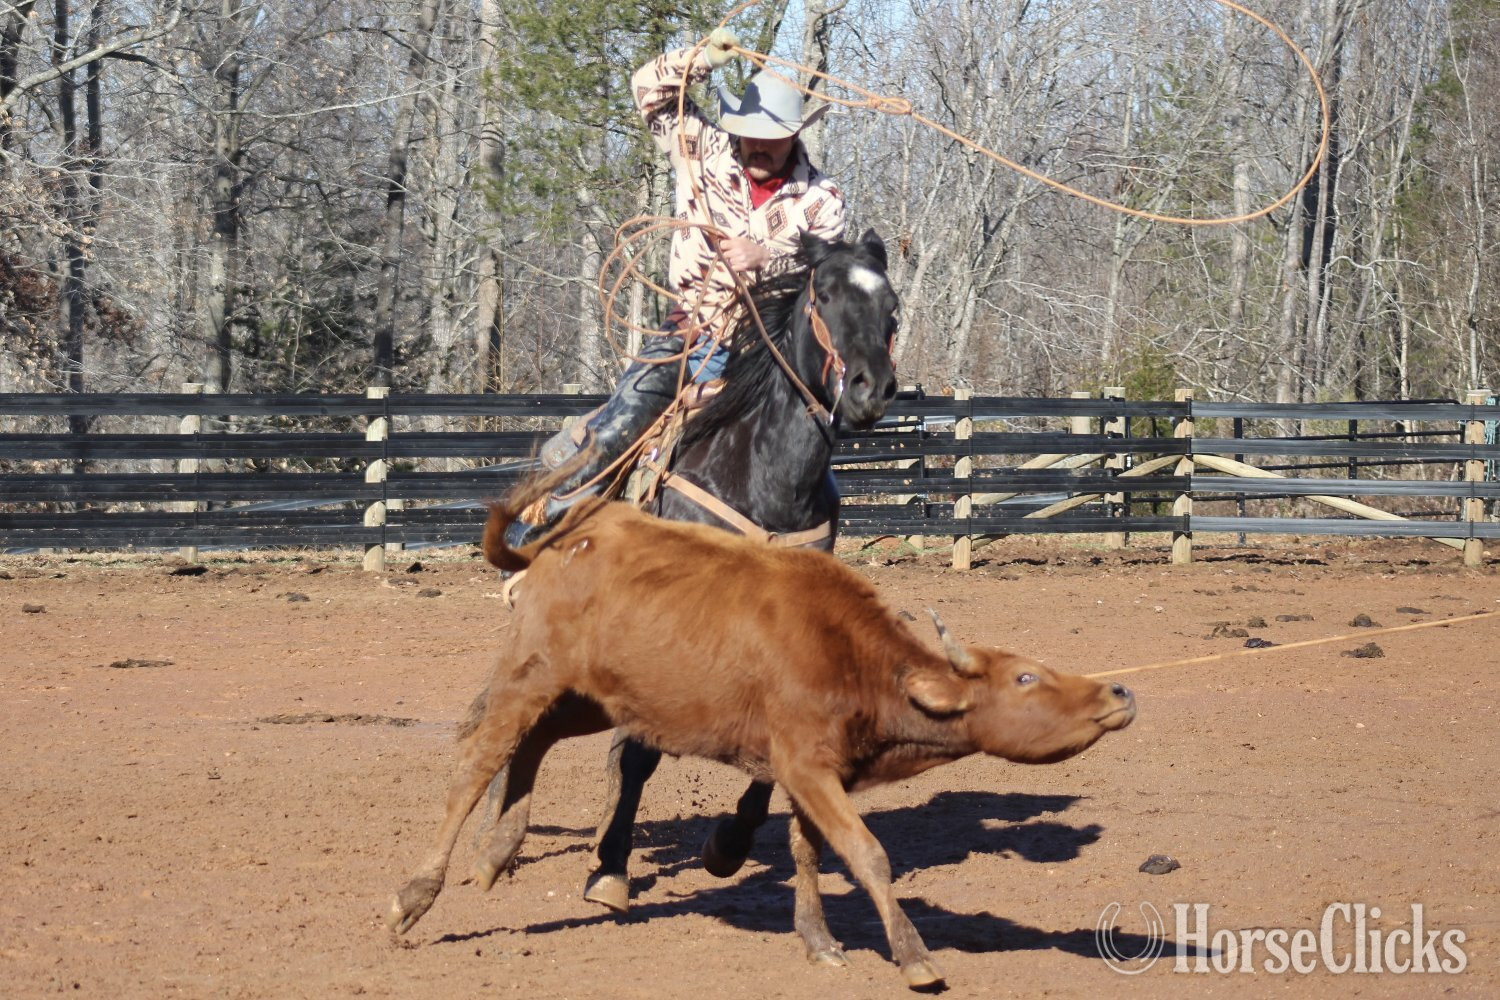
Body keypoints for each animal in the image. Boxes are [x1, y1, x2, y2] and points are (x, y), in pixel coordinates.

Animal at [487, 228, 900, 914]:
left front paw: (726, 846)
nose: (871, 388)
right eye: (826, 294)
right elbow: (639, 758)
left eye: (891, 304)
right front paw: (610, 871)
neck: (762, 474)